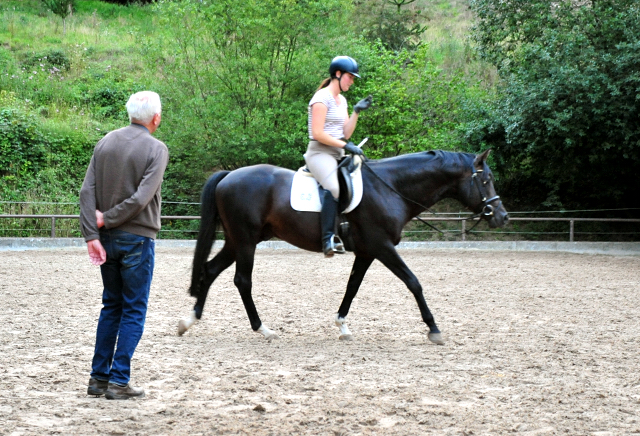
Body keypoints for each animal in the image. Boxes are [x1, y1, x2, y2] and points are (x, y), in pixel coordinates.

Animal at [178, 149, 508, 344]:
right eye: (486, 180)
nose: (502, 216)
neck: (390, 187)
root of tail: (228, 176)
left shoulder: (366, 252)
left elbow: (353, 287)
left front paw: (342, 326)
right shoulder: (382, 246)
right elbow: (413, 282)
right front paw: (433, 329)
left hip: (238, 241)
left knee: (210, 270)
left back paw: (189, 320)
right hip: (245, 241)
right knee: (242, 280)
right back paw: (262, 328)